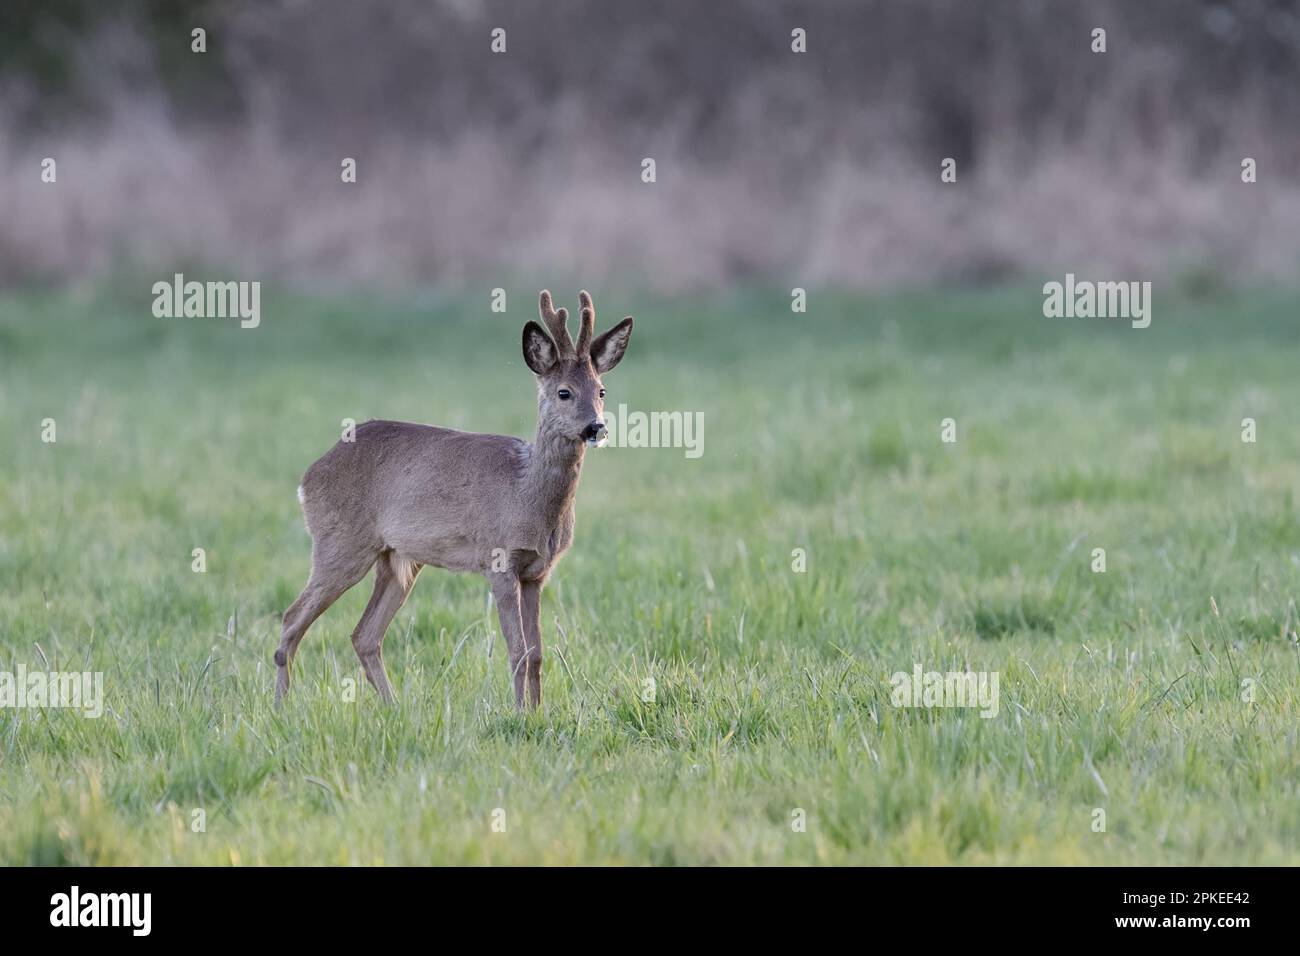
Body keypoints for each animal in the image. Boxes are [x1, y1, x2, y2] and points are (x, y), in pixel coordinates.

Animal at [273, 290, 633, 709]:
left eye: (601, 390)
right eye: (564, 391)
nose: (597, 427)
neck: (526, 495)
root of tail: (308, 477)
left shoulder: (537, 573)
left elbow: (537, 653)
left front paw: (537, 711)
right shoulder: (498, 560)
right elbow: (517, 651)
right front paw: (520, 714)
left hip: (398, 560)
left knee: (364, 634)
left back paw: (395, 708)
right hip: (340, 543)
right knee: (292, 618)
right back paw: (281, 707)